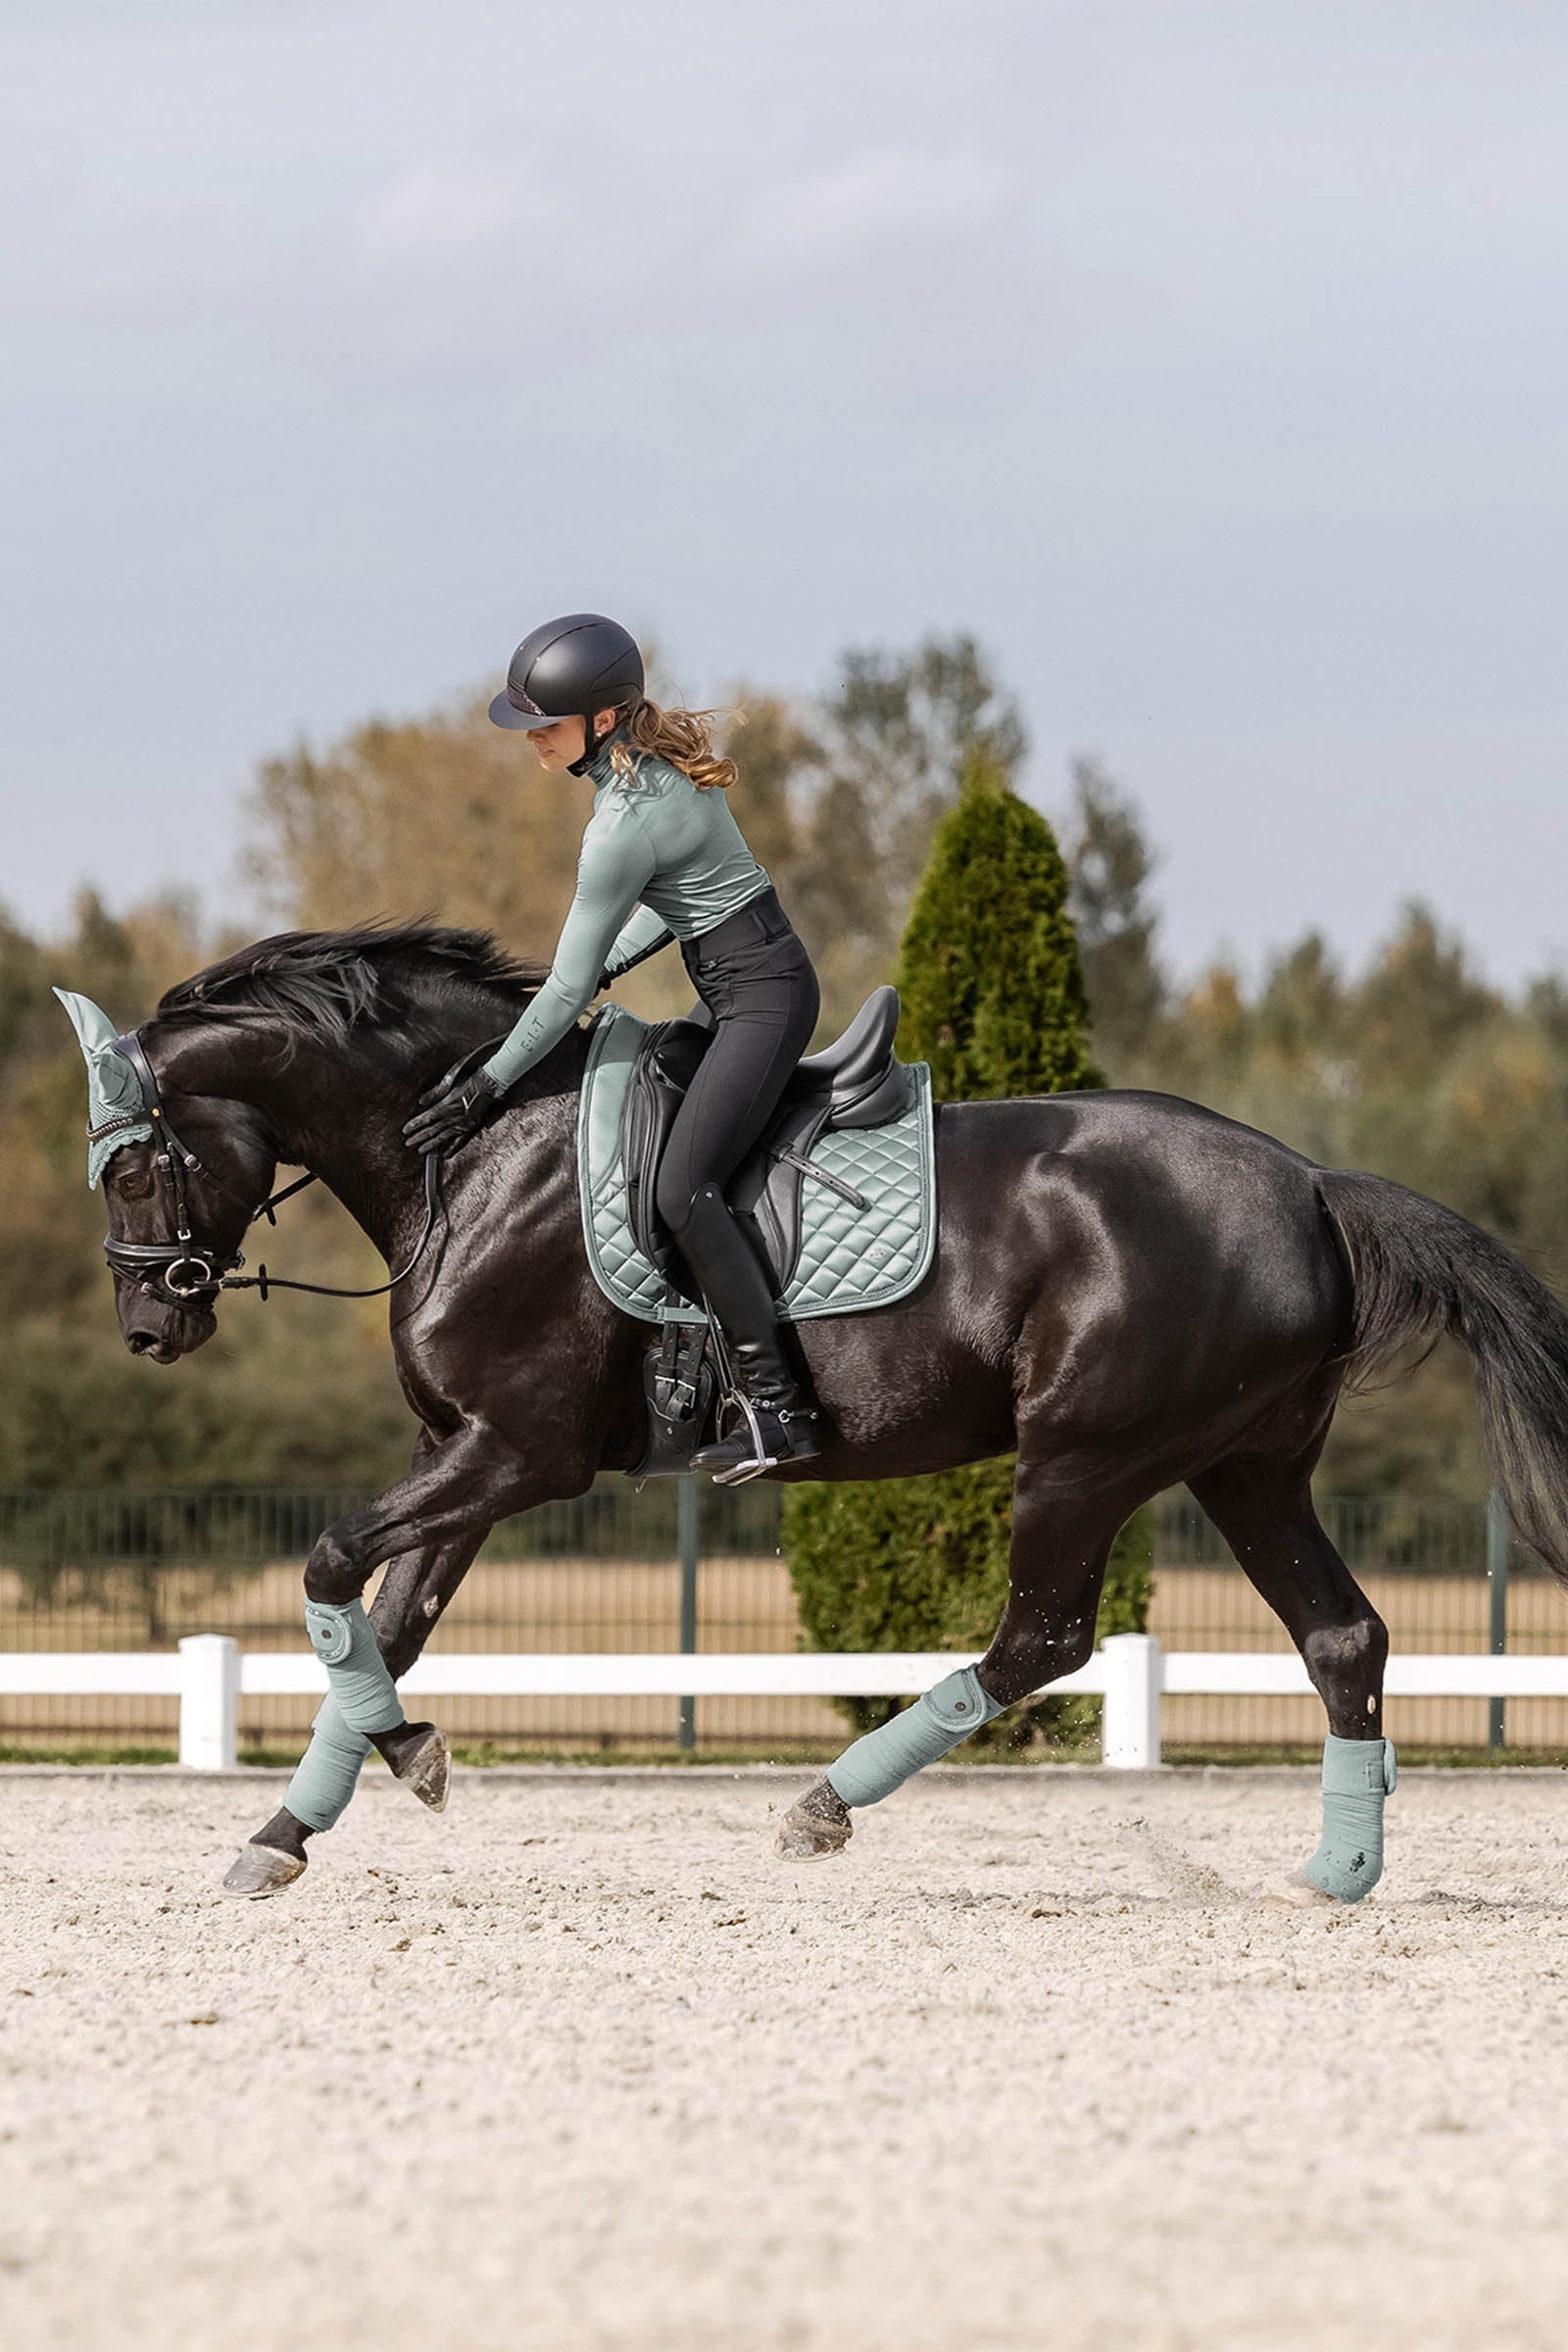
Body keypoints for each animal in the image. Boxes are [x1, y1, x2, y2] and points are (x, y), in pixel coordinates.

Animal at [73, 923, 1568, 1897]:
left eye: (136, 1166)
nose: (150, 1329)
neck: (475, 1146)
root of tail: (1309, 1179)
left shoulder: (519, 1453)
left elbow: (333, 1570)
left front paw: (409, 1762)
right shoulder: (462, 1455)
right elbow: (385, 1628)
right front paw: (289, 1831)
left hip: (1083, 1459)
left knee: (1041, 1638)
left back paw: (820, 1808)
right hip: (1245, 1467)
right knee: (1342, 1636)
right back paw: (1340, 1869)